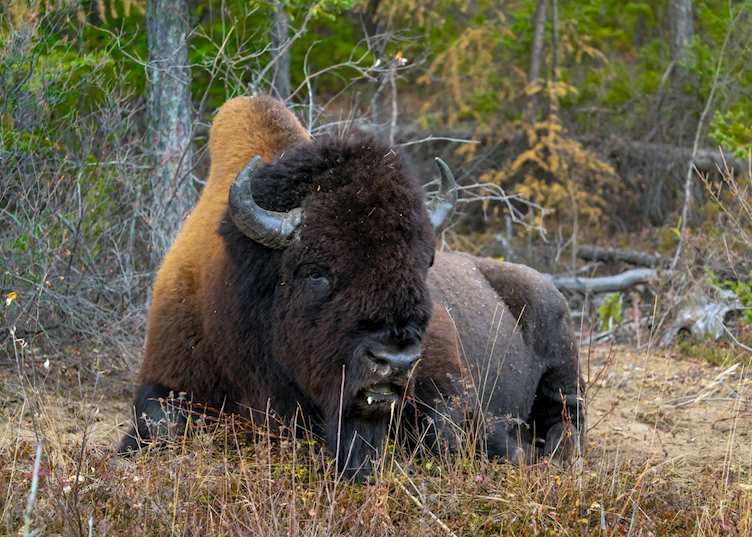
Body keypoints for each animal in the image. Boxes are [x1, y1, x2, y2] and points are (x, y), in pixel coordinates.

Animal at [119, 96, 584, 479]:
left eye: (424, 264)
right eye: (316, 272)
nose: (395, 361)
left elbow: (444, 433)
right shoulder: (167, 375)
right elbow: (158, 424)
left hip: (563, 374)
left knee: (566, 423)